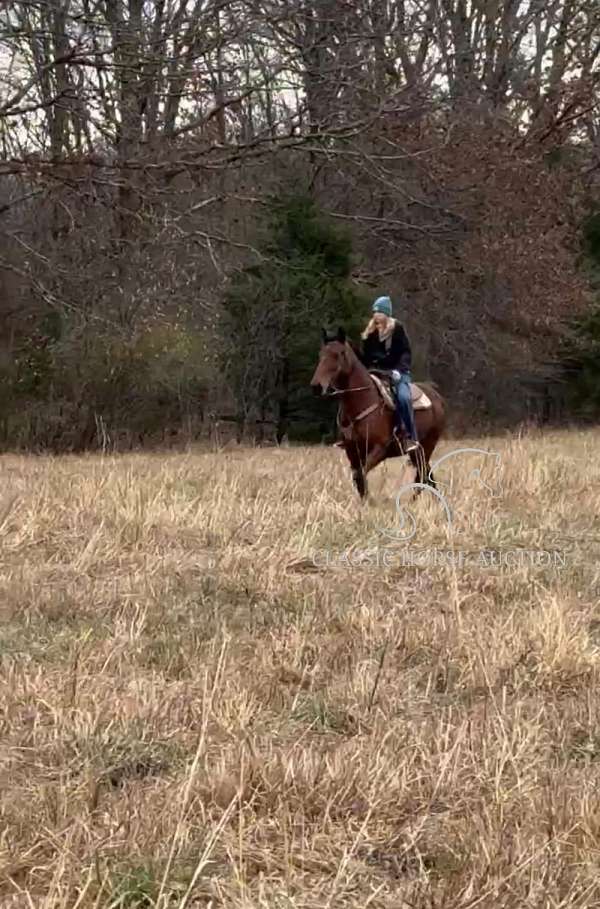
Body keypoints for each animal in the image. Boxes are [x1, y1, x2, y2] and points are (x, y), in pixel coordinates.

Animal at [310, 324, 446, 496]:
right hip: (418, 452)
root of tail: (436, 395)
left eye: (339, 353)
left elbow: (361, 476)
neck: (361, 401)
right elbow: (359, 481)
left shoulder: (379, 450)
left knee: (422, 476)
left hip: (426, 446)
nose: (316, 386)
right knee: (427, 476)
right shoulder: (352, 452)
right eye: (321, 354)